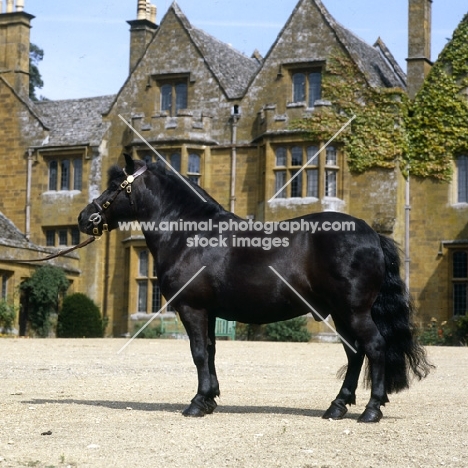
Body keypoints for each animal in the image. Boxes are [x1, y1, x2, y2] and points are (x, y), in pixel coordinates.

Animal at [77, 155, 432, 422]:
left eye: (114, 186)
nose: (84, 218)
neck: (190, 234)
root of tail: (372, 234)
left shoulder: (192, 309)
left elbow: (198, 353)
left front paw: (196, 403)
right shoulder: (209, 312)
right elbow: (211, 351)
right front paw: (210, 399)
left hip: (354, 310)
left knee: (374, 346)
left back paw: (371, 410)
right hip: (341, 313)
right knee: (355, 352)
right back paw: (337, 407)